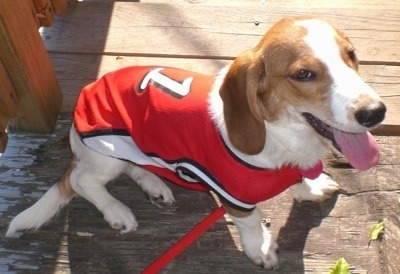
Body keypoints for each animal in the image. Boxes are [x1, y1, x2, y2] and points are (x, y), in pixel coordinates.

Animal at [6, 17, 386, 270]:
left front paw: (311, 187)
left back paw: (155, 185)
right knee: (81, 181)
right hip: (107, 150)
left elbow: (299, 182)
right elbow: (251, 219)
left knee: (133, 168)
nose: (376, 112)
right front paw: (261, 248)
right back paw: (117, 211)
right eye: (303, 74)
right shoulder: (234, 194)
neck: (283, 135)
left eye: (352, 55)